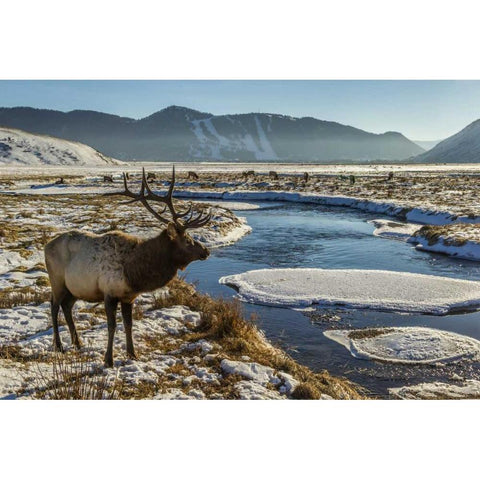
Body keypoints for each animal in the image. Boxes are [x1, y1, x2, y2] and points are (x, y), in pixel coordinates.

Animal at [43, 167, 212, 366]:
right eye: (187, 240)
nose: (206, 250)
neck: (135, 274)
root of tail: (46, 246)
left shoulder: (128, 297)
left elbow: (128, 324)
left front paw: (132, 354)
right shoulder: (109, 293)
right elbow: (112, 325)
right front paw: (108, 359)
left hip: (75, 288)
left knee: (67, 306)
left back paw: (77, 343)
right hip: (57, 281)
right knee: (54, 306)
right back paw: (59, 345)